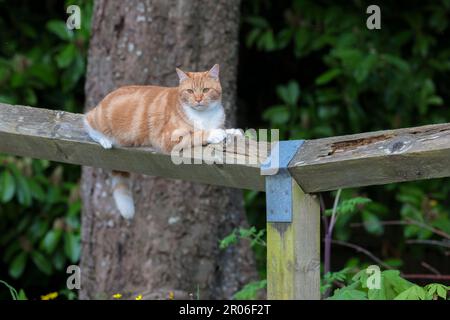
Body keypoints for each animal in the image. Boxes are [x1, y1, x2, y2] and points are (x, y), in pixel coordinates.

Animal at [82, 65, 241, 220]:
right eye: (190, 91)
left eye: (206, 90)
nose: (198, 99)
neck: (204, 115)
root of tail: (105, 99)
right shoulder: (168, 137)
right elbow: (196, 134)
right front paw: (215, 134)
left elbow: (224, 129)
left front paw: (233, 131)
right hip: (98, 120)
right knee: (87, 121)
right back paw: (104, 140)